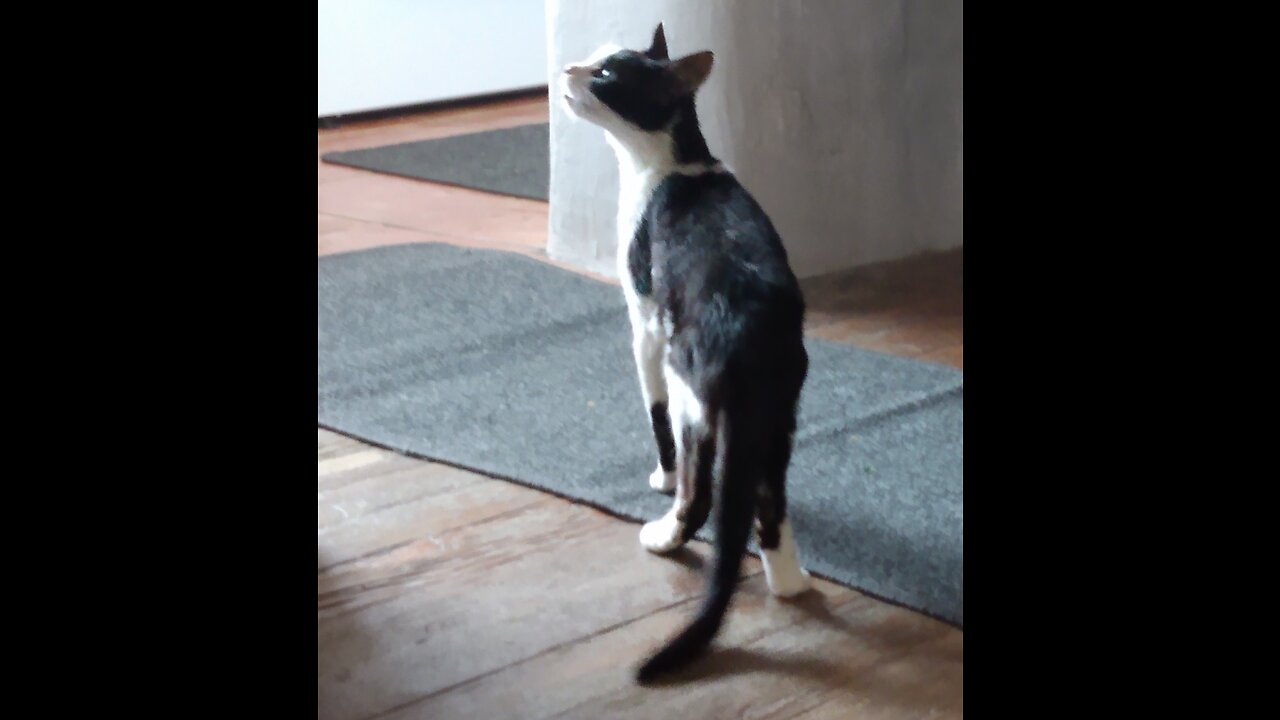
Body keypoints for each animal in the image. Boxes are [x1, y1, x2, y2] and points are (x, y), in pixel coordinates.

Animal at [558, 22, 808, 681]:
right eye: (592, 58)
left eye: (605, 75)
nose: (566, 68)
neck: (670, 165)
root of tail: (753, 328)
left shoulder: (644, 323)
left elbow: (654, 416)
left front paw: (660, 476)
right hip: (779, 419)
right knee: (769, 505)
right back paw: (790, 582)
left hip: (693, 389)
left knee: (702, 497)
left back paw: (664, 535)